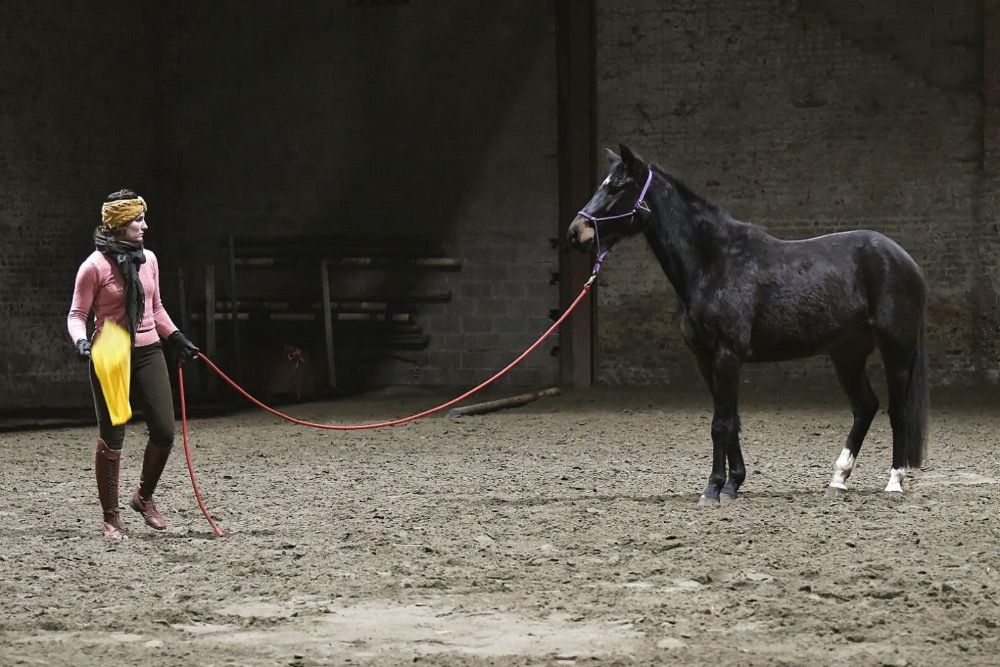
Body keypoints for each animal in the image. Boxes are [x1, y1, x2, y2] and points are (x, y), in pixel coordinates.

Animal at [567, 145, 928, 505]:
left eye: (617, 188)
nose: (576, 232)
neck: (714, 263)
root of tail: (905, 260)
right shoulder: (706, 360)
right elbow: (731, 420)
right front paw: (732, 484)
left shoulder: (728, 355)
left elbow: (721, 423)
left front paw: (713, 489)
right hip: (847, 353)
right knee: (865, 406)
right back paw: (838, 480)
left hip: (896, 350)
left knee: (897, 410)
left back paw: (894, 482)